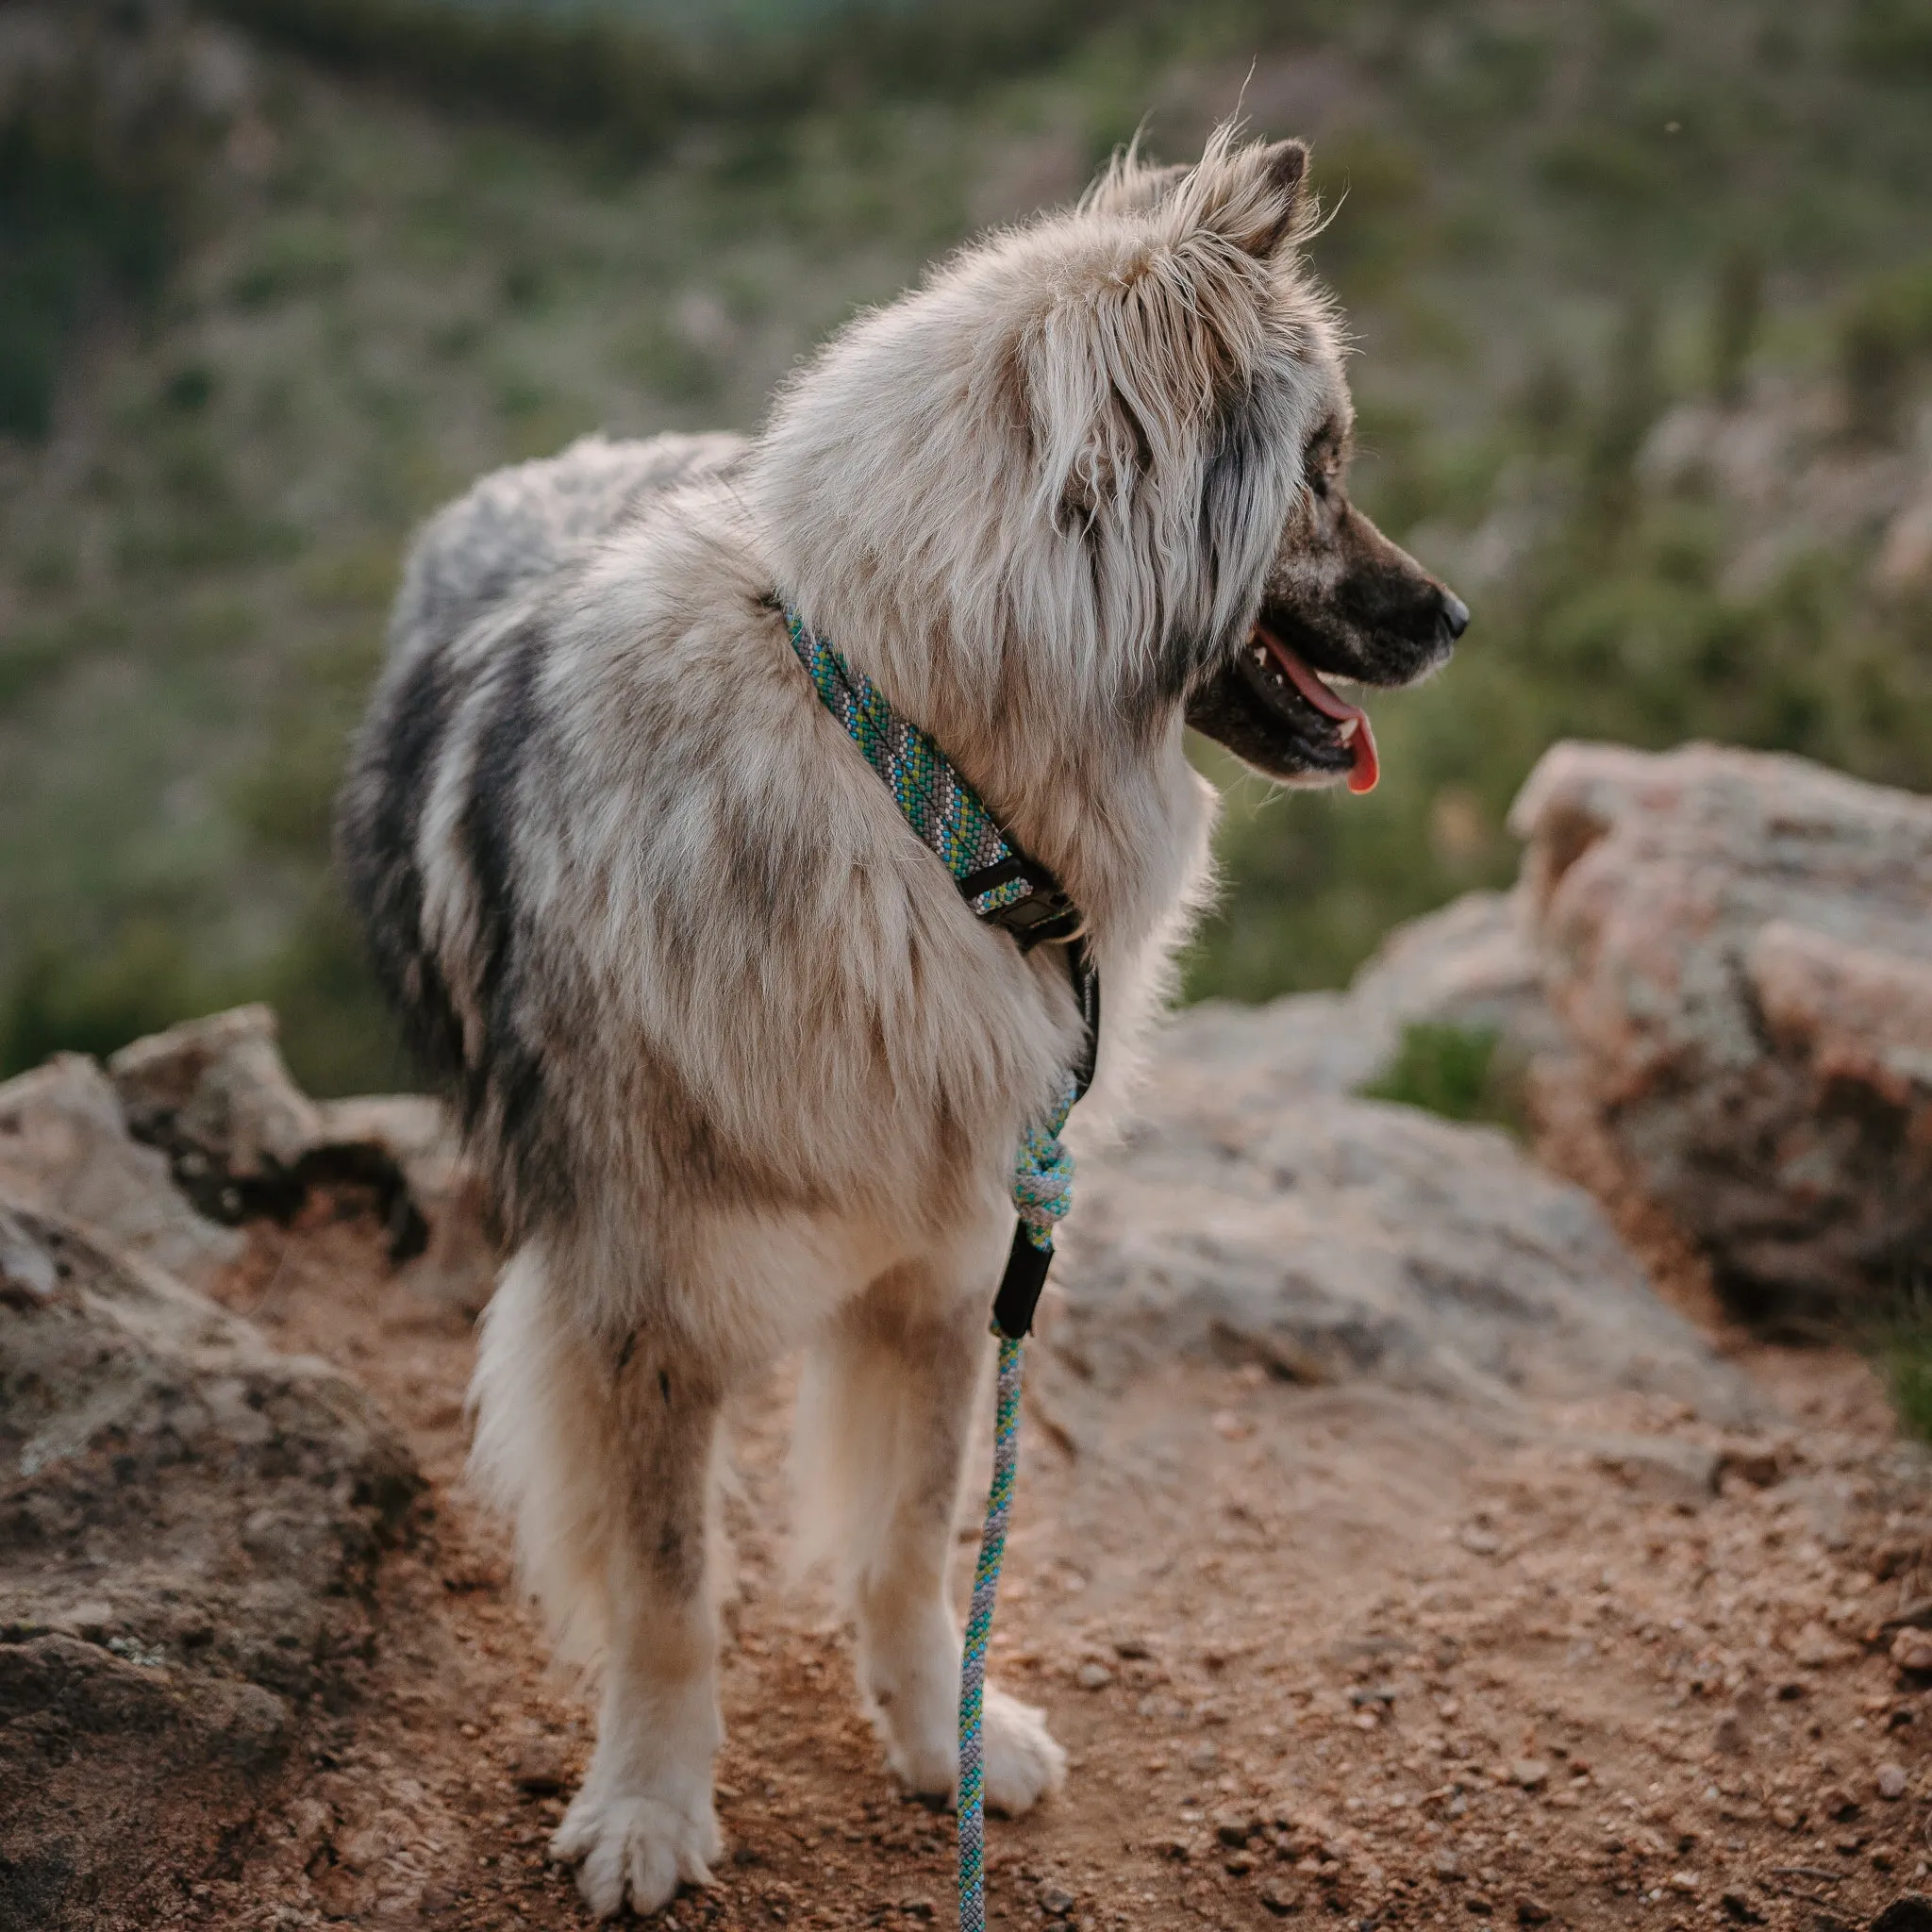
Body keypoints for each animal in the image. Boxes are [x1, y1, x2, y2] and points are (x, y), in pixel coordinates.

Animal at [340, 125, 1468, 1916]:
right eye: (1317, 472)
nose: (1452, 620)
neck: (909, 774)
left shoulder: (954, 1267)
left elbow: (916, 1537)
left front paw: (945, 1738)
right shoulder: (640, 1308)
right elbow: (666, 1596)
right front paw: (648, 1804)